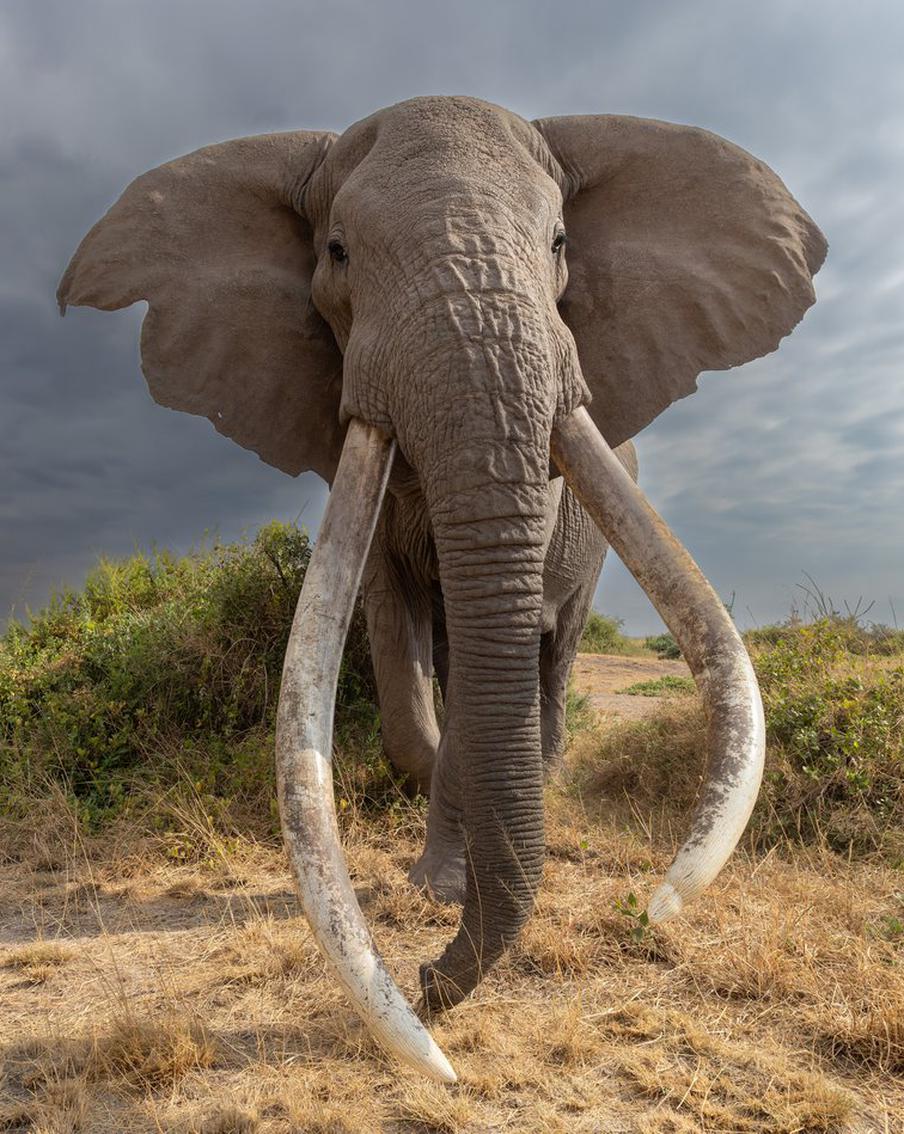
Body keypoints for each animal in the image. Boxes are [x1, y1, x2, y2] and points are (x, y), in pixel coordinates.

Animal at [58, 95, 825, 1083]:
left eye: (561, 243)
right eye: (338, 252)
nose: (427, 981)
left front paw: (447, 889)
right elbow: (402, 652)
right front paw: (436, 885)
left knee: (552, 653)